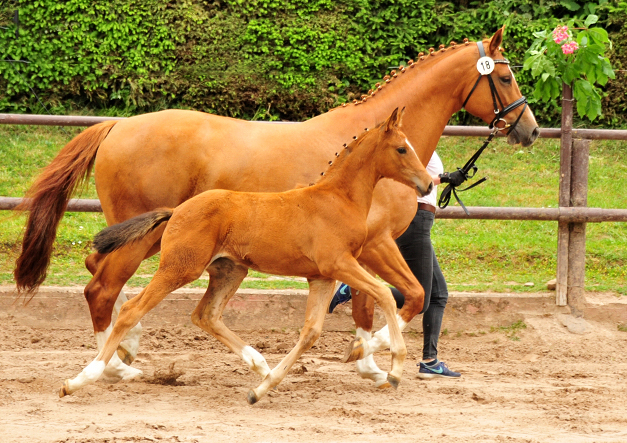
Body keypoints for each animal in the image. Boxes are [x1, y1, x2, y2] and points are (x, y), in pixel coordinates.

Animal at [59, 109, 432, 404]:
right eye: (402, 148)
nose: (429, 183)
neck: (337, 199)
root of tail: (178, 209)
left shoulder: (322, 276)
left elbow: (311, 332)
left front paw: (261, 389)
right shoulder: (340, 263)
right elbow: (385, 294)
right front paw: (395, 367)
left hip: (230, 271)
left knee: (205, 314)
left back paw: (258, 364)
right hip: (179, 268)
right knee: (128, 308)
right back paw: (83, 379)